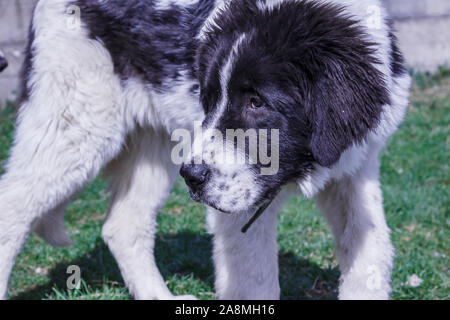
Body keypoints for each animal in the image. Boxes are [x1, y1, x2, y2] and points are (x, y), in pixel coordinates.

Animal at [0, 0, 410, 300]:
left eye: (256, 103)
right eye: (210, 99)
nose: (192, 178)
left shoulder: (355, 169)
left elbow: (372, 249)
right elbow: (256, 280)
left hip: (154, 145)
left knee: (124, 224)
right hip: (76, 126)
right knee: (13, 207)